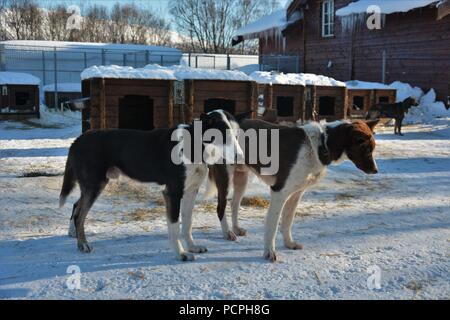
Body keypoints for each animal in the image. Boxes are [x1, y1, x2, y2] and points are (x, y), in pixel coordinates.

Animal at [60, 109, 244, 260]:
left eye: (237, 136)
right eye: (224, 136)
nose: (240, 157)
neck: (194, 145)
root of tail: (78, 140)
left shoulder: (191, 191)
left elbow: (188, 223)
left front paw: (192, 247)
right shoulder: (172, 193)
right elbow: (175, 226)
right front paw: (181, 254)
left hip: (92, 186)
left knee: (76, 206)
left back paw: (73, 233)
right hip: (95, 185)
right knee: (80, 215)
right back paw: (83, 243)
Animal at [209, 119, 378, 262]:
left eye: (373, 148)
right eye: (365, 148)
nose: (376, 170)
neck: (320, 145)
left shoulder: (296, 194)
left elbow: (287, 221)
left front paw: (289, 243)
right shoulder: (279, 192)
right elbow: (272, 226)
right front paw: (269, 252)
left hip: (241, 178)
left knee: (234, 204)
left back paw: (236, 229)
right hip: (225, 178)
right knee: (221, 207)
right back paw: (227, 233)